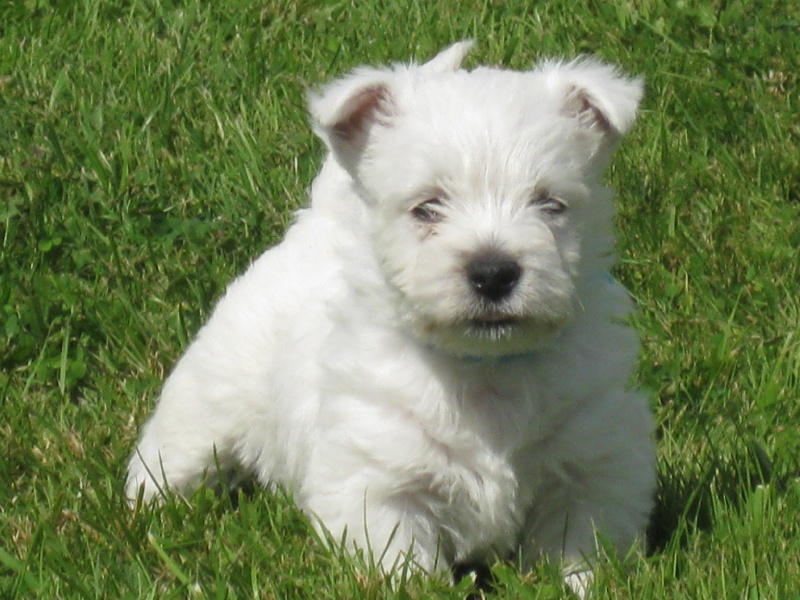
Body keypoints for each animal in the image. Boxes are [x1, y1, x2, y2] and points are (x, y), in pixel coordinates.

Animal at [128, 41, 656, 596]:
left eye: (550, 204)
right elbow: (400, 563)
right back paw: (151, 506)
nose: (493, 272)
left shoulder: (594, 464)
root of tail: (318, 219)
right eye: (426, 208)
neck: (484, 370)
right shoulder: (378, 480)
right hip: (210, 399)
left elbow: (581, 550)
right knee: (172, 451)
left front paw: (583, 584)